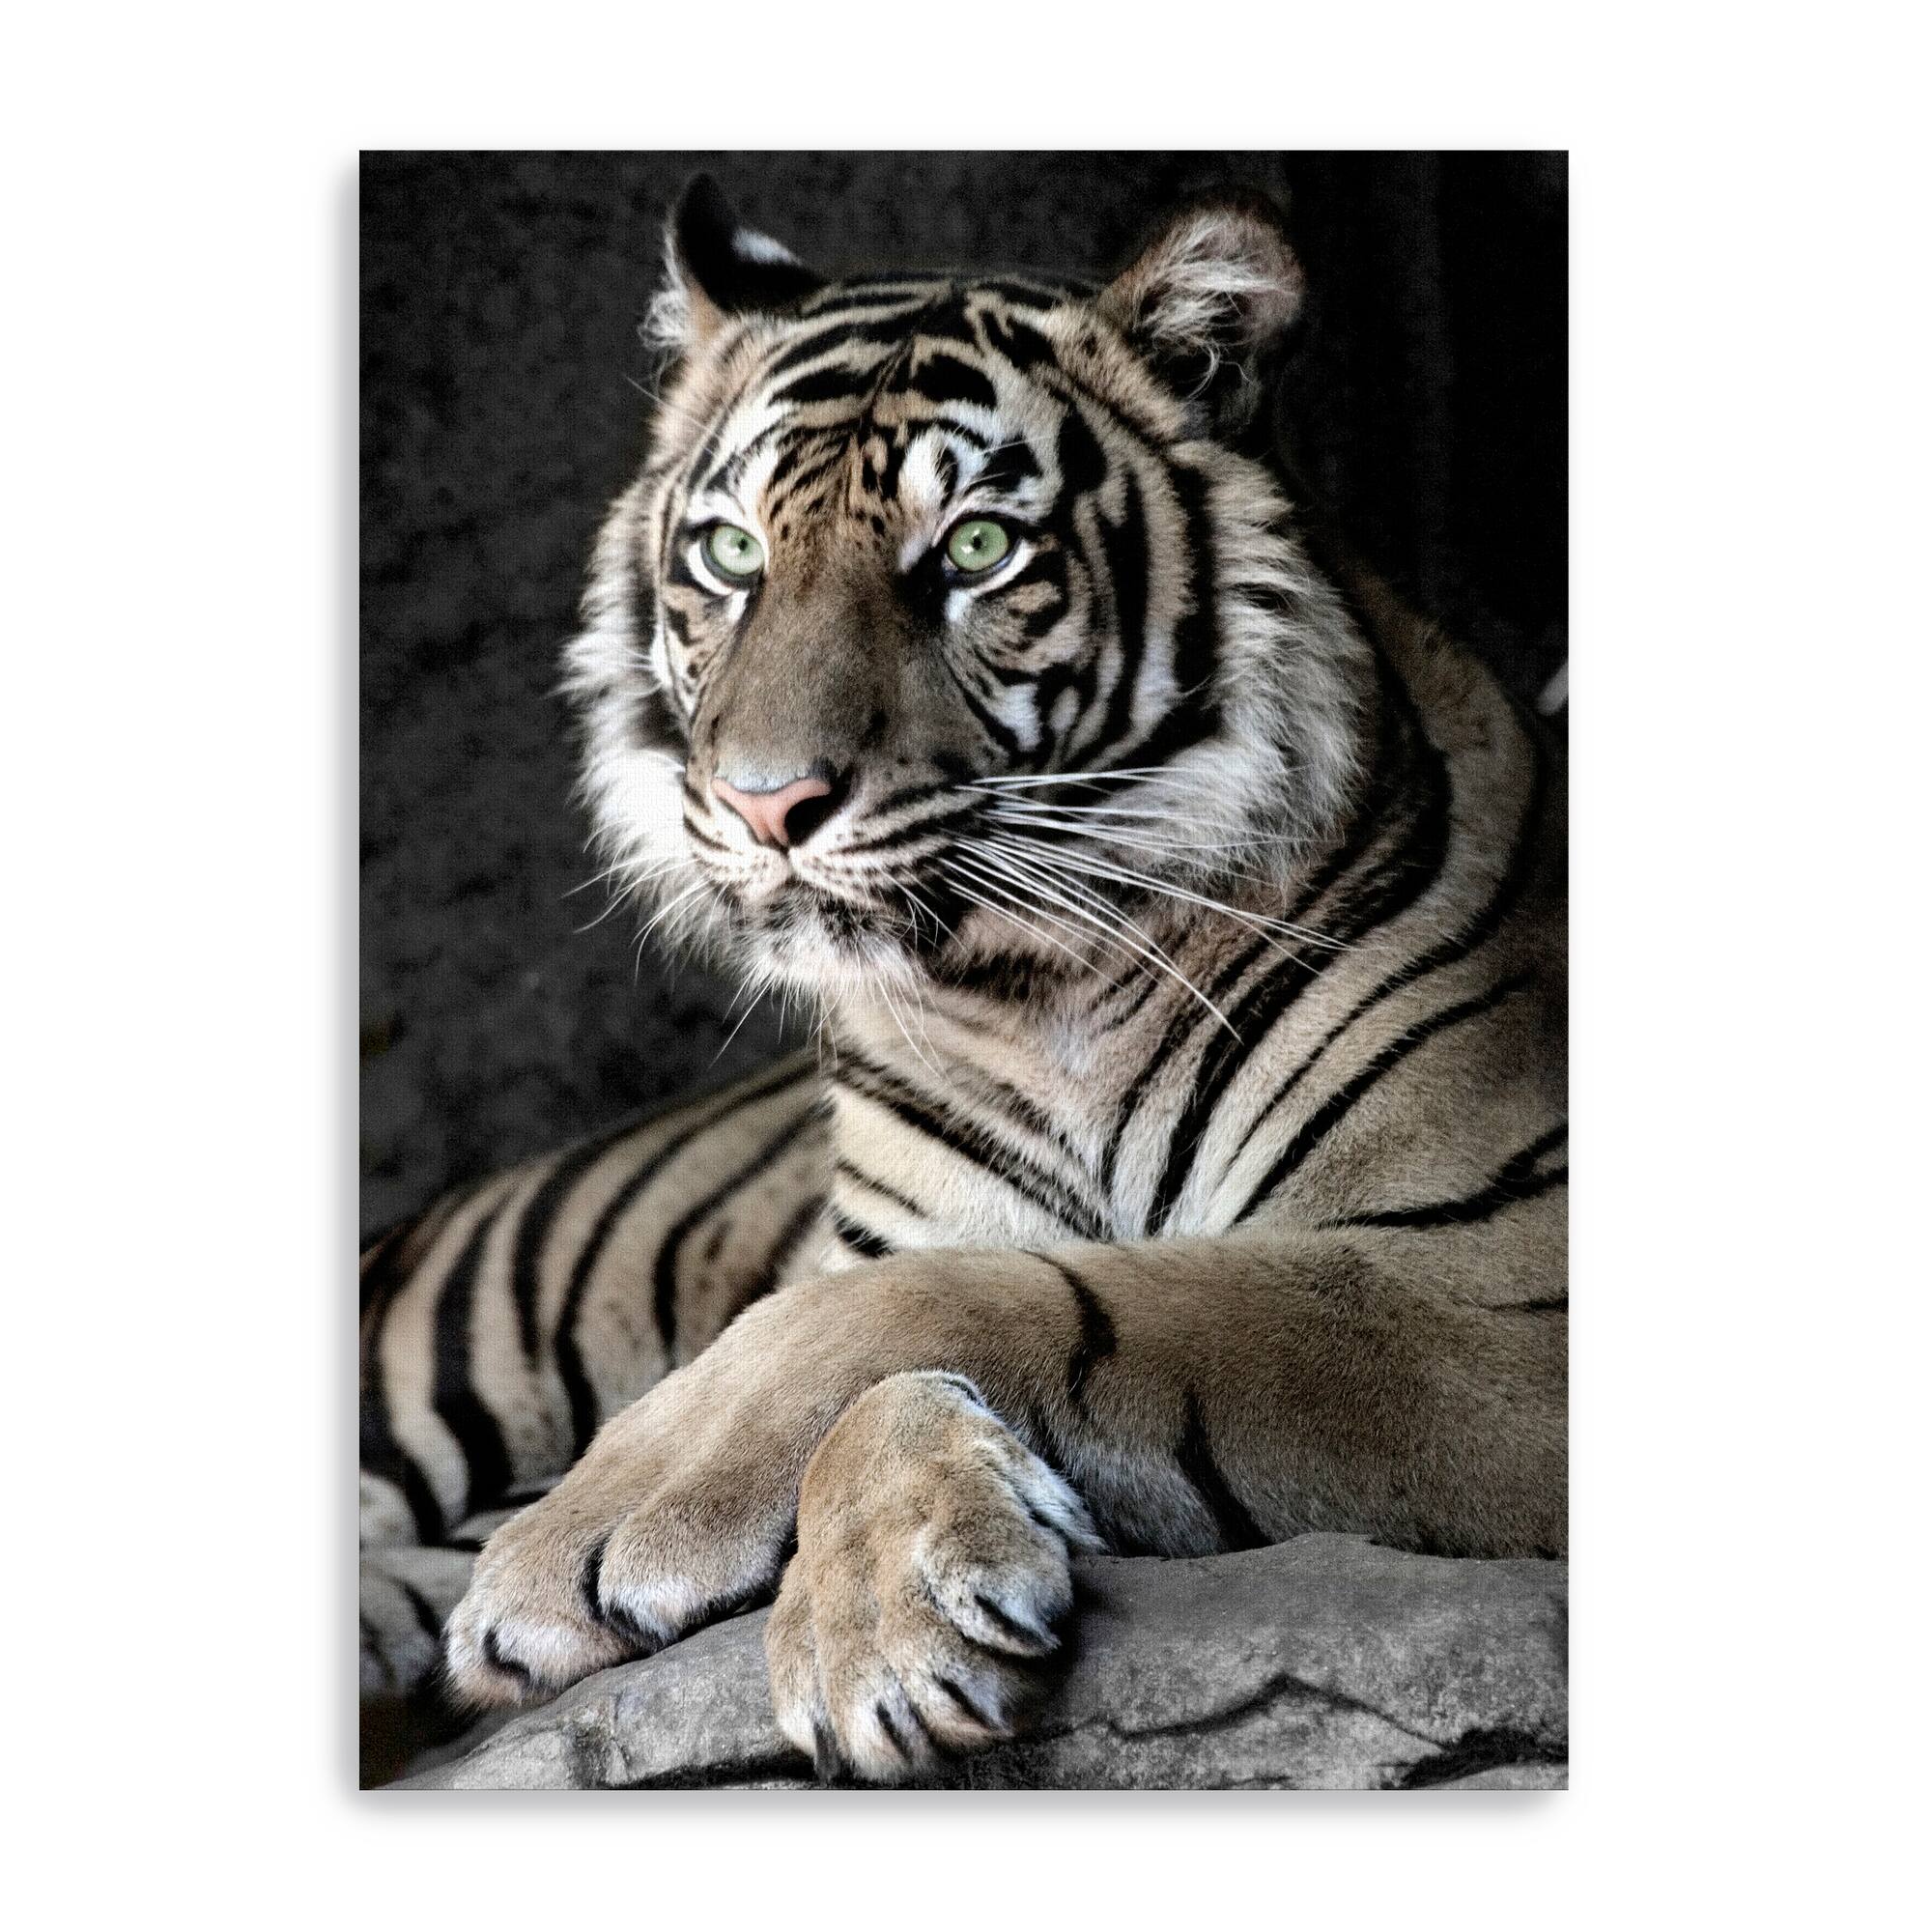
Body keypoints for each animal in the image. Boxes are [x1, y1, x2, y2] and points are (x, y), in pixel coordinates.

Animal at [359, 173, 1567, 1787]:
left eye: (982, 548)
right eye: (731, 556)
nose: (765, 805)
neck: (1037, 999)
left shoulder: (1514, 1286)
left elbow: (1027, 1301)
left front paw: (654, 1539)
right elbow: (897, 1315)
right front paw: (876, 1620)